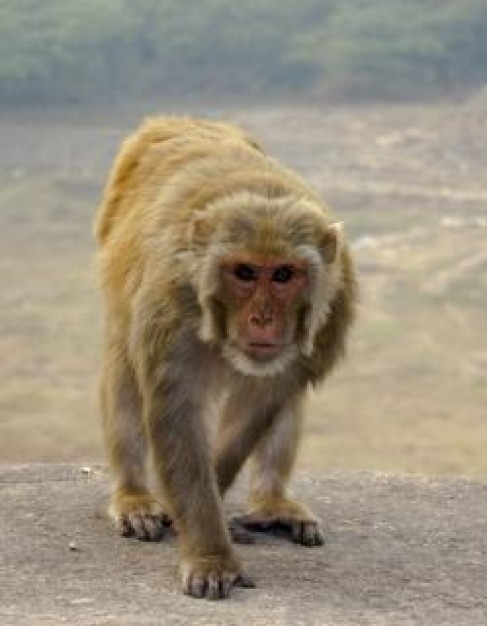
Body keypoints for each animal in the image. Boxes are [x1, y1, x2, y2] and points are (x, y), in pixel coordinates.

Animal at [93, 114, 356, 596]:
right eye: (245, 272)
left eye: (284, 274)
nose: (262, 319)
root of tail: (178, 120)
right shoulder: (170, 305)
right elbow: (177, 413)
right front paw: (210, 553)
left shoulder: (334, 303)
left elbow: (260, 405)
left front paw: (205, 512)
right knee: (124, 374)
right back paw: (135, 495)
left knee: (287, 398)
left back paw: (271, 501)